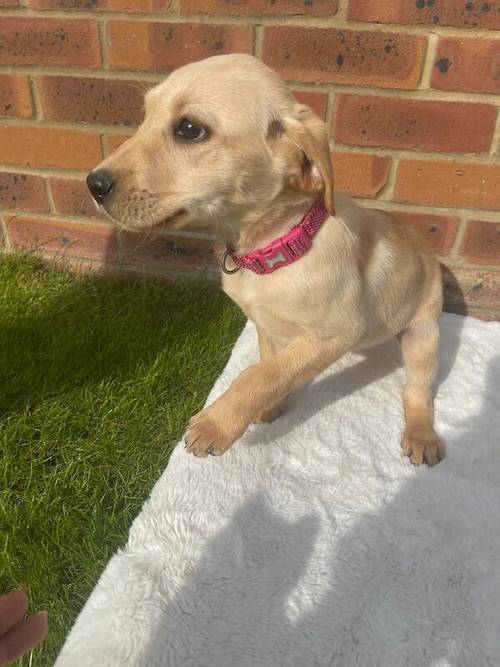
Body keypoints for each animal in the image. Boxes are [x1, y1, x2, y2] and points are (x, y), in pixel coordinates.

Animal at [88, 54, 444, 468]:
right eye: (145, 116)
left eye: (189, 129)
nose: (93, 185)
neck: (276, 246)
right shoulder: (266, 327)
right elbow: (270, 367)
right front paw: (267, 408)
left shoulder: (337, 334)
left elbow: (258, 376)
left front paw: (216, 423)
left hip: (424, 336)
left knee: (417, 392)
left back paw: (421, 435)